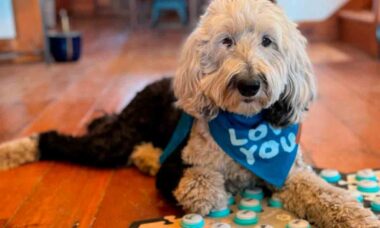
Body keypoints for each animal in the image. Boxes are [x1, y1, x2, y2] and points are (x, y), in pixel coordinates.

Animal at [0, 0, 378, 227]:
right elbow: (200, 182)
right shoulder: (175, 168)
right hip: (112, 142)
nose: (249, 84)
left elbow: (323, 192)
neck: (246, 127)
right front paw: (209, 190)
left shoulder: (287, 170)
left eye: (267, 41)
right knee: (54, 140)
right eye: (226, 41)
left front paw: (356, 215)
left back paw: (145, 156)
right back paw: (14, 149)